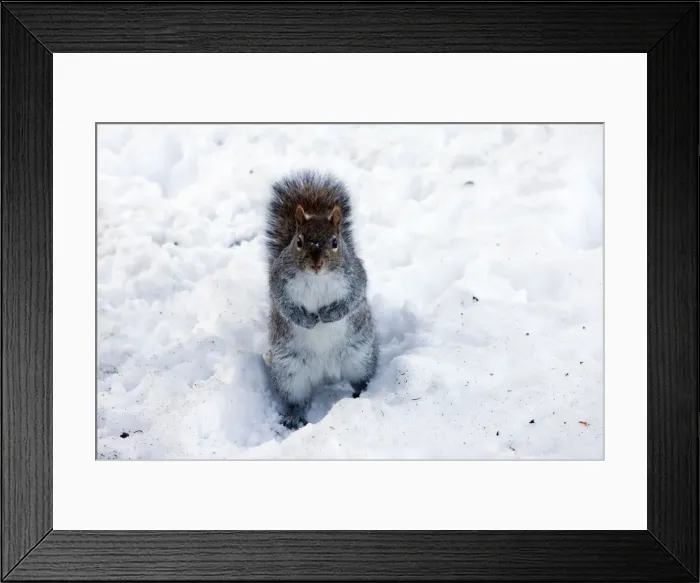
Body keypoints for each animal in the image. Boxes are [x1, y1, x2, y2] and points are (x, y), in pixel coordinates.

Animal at [263, 170, 379, 429]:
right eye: (299, 241)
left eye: (335, 242)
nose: (316, 264)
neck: (317, 278)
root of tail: (325, 371)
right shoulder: (278, 280)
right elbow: (283, 304)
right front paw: (306, 320)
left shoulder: (355, 276)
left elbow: (353, 299)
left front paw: (329, 314)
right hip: (289, 373)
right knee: (296, 398)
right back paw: (294, 417)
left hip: (360, 358)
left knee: (361, 379)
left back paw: (363, 396)